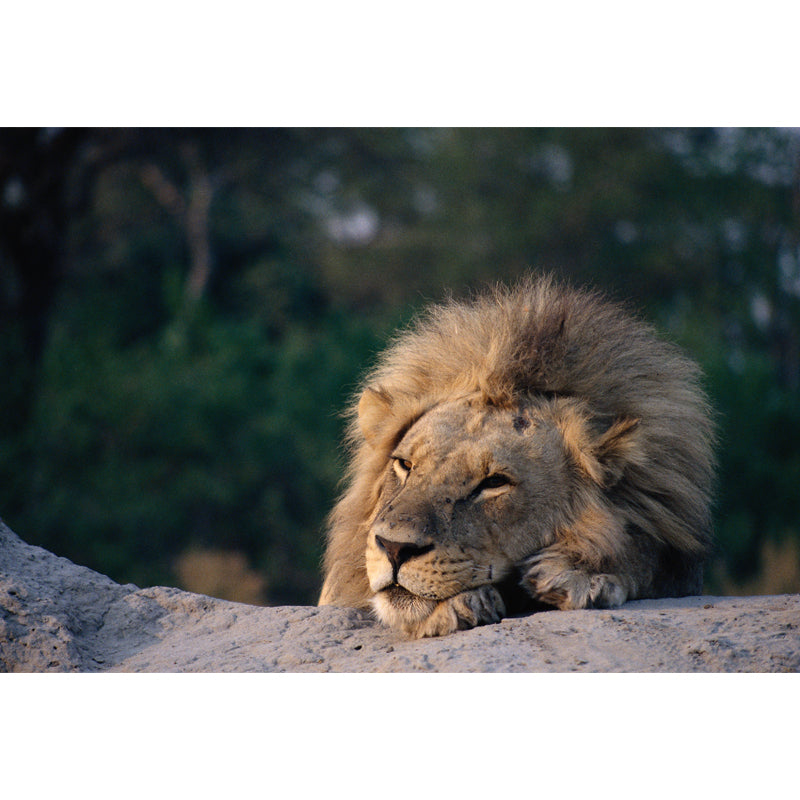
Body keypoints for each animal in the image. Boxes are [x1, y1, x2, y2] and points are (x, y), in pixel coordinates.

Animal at [318, 275, 715, 638]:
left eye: (494, 482)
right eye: (405, 465)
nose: (394, 548)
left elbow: (645, 552)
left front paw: (578, 572)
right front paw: (452, 607)